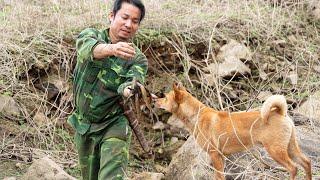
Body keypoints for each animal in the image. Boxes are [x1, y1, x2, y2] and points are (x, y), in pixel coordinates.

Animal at [156, 83, 312, 180]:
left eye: (165, 98)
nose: (155, 100)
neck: (196, 115)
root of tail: (279, 113)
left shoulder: (215, 155)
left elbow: (219, 177)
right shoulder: (221, 158)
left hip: (276, 151)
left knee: (293, 168)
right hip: (290, 148)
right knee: (306, 163)